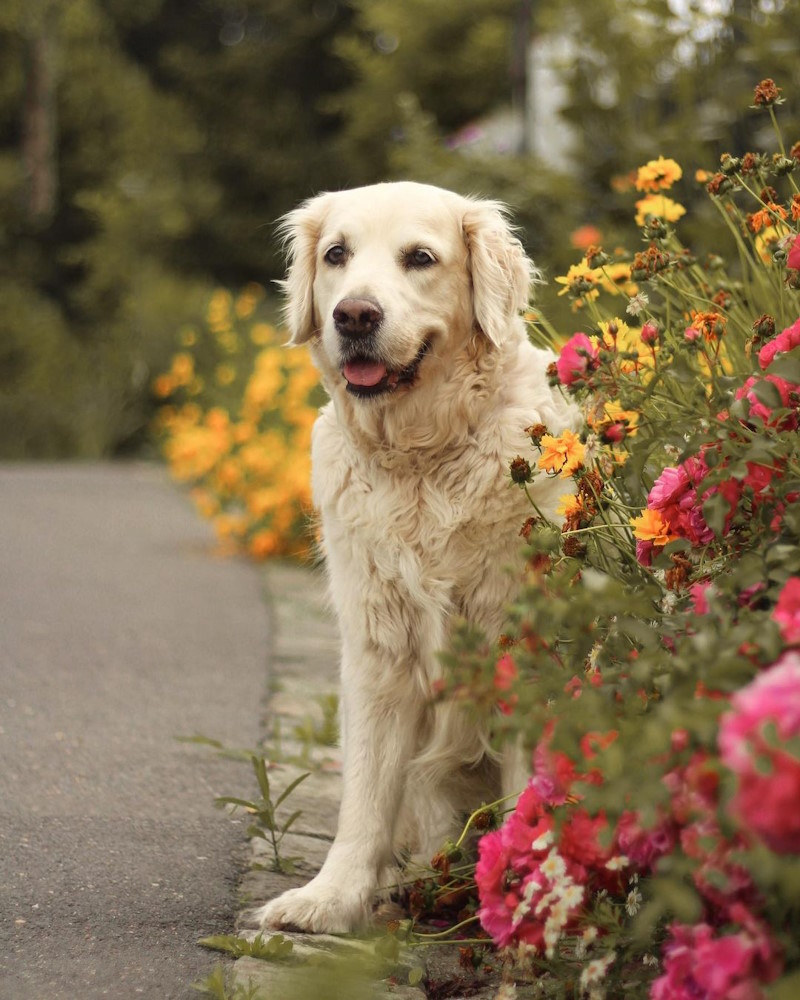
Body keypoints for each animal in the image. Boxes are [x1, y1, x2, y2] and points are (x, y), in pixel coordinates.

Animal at [256, 182, 576, 936]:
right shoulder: (379, 643)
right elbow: (366, 796)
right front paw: (331, 897)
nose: (353, 314)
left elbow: (526, 789)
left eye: (420, 258)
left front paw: (529, 894)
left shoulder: (522, 639)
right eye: (337, 254)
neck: (423, 461)